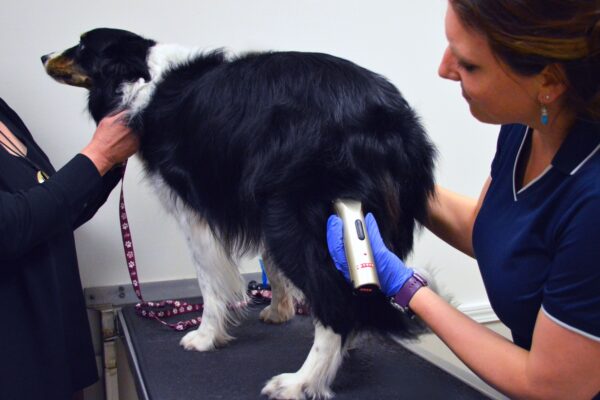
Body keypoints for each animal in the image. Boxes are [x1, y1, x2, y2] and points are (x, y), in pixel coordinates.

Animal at [43, 28, 436, 400]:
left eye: (82, 46)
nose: (44, 56)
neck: (142, 73)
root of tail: (391, 119)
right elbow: (269, 265)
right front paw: (279, 309)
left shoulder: (194, 211)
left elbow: (209, 281)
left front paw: (204, 336)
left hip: (292, 216)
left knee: (335, 303)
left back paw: (301, 381)